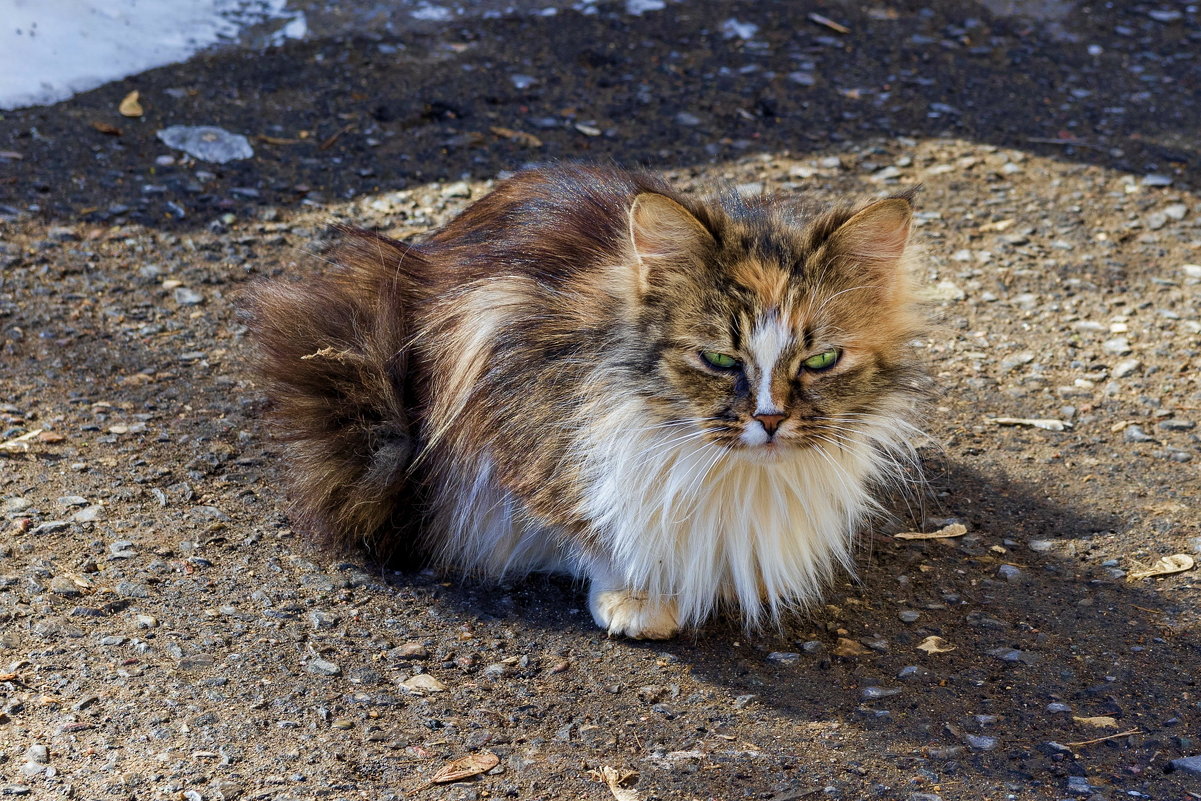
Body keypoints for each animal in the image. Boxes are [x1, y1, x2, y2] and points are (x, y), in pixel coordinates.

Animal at [243, 163, 927, 638]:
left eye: (820, 361)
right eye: (719, 360)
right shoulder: (502, 381)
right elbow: (587, 521)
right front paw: (638, 597)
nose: (770, 418)